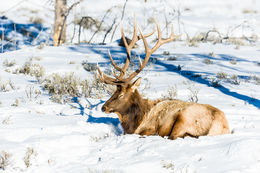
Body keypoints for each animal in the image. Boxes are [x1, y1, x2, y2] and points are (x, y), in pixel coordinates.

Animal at [97, 19, 230, 139]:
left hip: (184, 118)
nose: (103, 107)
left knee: (175, 136)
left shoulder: (148, 128)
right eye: (114, 91)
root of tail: (220, 125)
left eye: (121, 95)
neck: (138, 119)